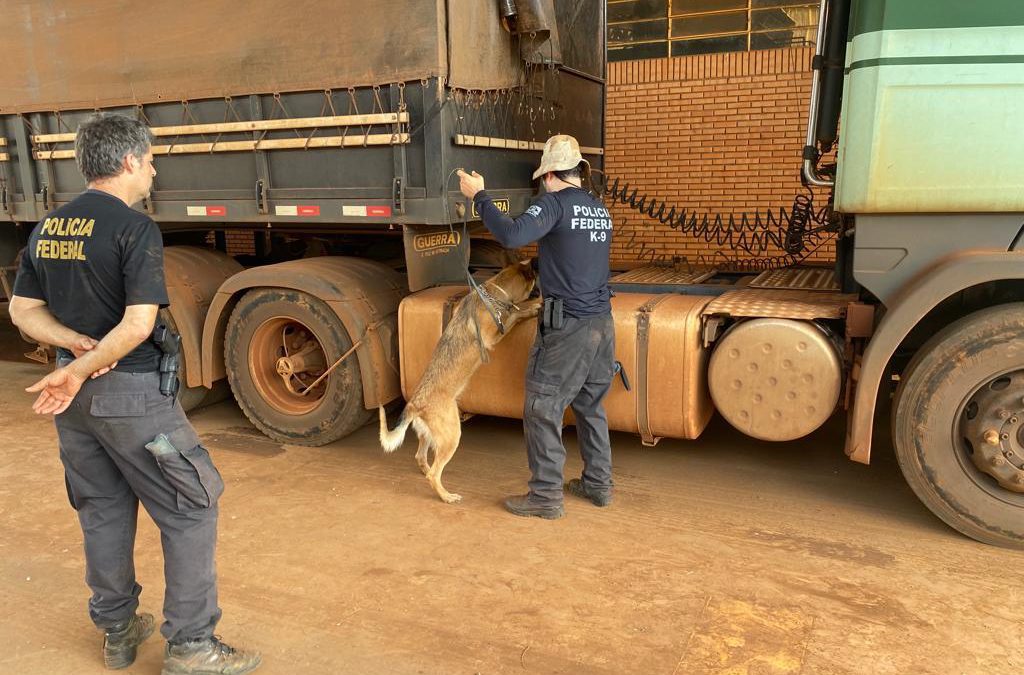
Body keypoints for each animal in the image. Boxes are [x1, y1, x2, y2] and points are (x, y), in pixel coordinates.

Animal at [380, 261, 540, 503]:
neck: (493, 291)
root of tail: (414, 405)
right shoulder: (494, 336)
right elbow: (514, 316)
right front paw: (533, 308)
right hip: (451, 435)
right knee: (434, 474)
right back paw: (446, 496)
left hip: (430, 436)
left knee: (420, 458)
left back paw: (428, 474)